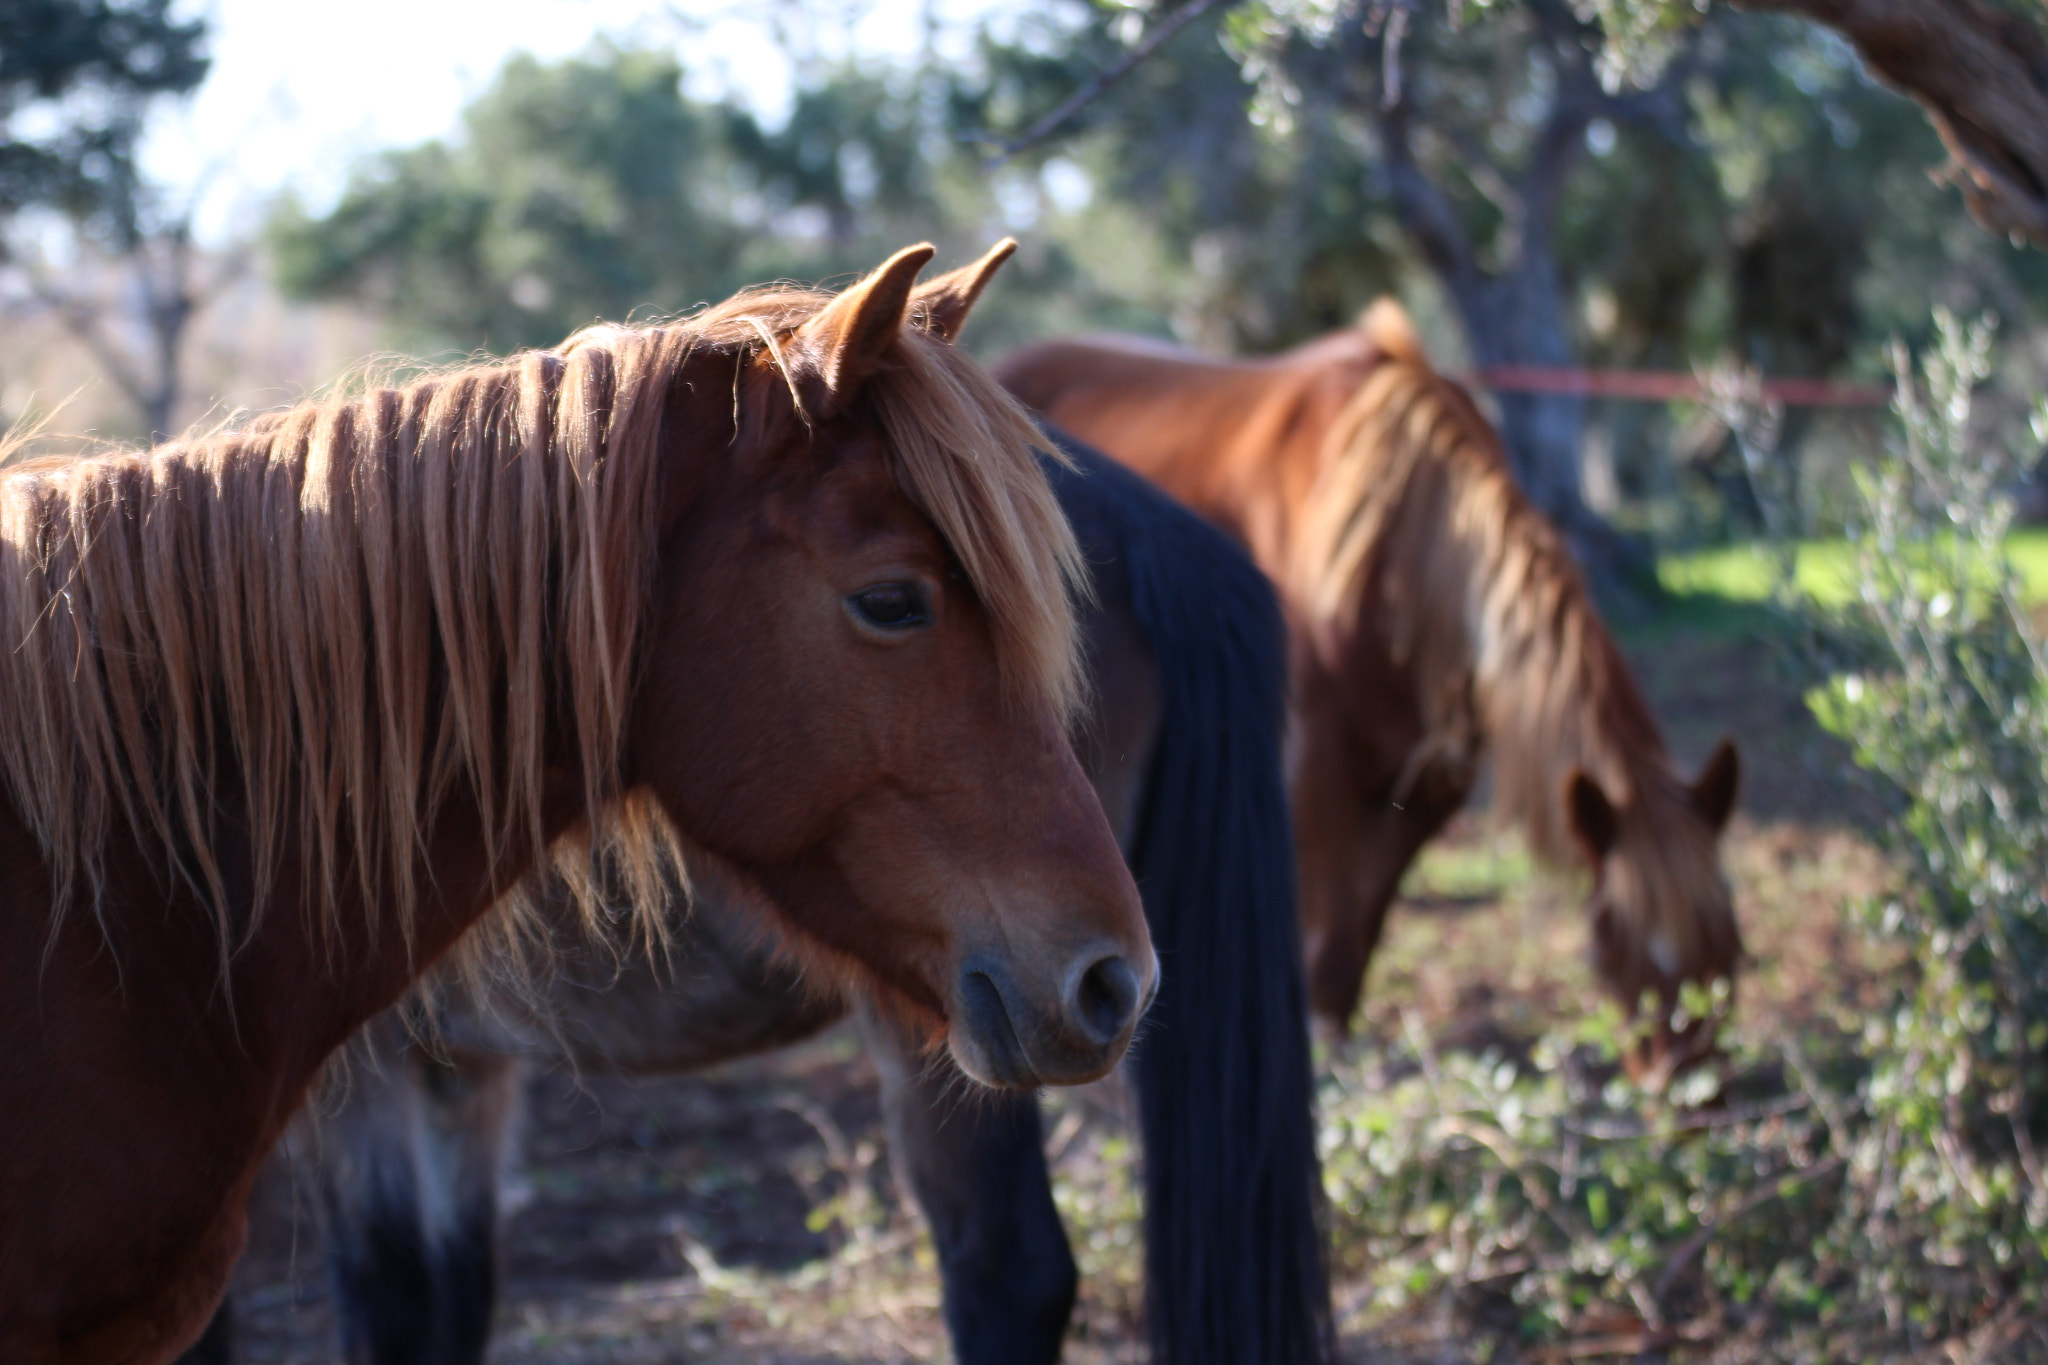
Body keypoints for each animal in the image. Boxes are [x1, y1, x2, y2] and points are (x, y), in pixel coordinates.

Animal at [999, 300, 1736, 1080]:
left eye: (1729, 947)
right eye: (1613, 946)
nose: (1692, 1087)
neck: (1398, 548)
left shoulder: (1423, 792)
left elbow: (1361, 934)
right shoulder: (1315, 778)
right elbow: (1320, 940)